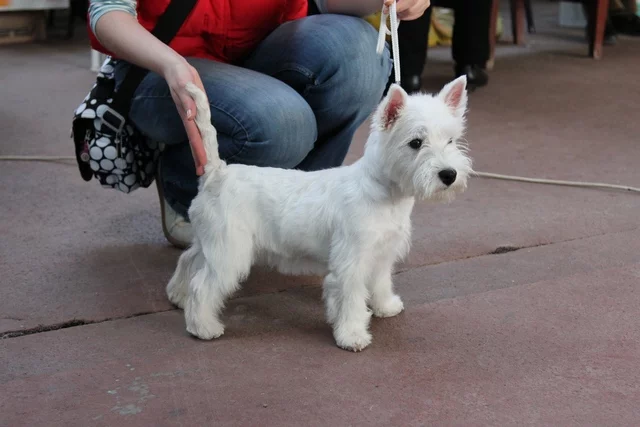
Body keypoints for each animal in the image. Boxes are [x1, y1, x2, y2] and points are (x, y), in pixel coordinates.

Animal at [166, 76, 473, 352]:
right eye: (416, 143)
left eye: (450, 140)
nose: (449, 175)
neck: (386, 194)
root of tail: (216, 172)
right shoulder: (351, 262)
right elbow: (351, 300)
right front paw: (352, 336)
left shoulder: (382, 255)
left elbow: (381, 282)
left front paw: (386, 306)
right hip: (229, 252)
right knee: (202, 286)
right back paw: (203, 327)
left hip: (211, 242)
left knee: (188, 259)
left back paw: (178, 295)